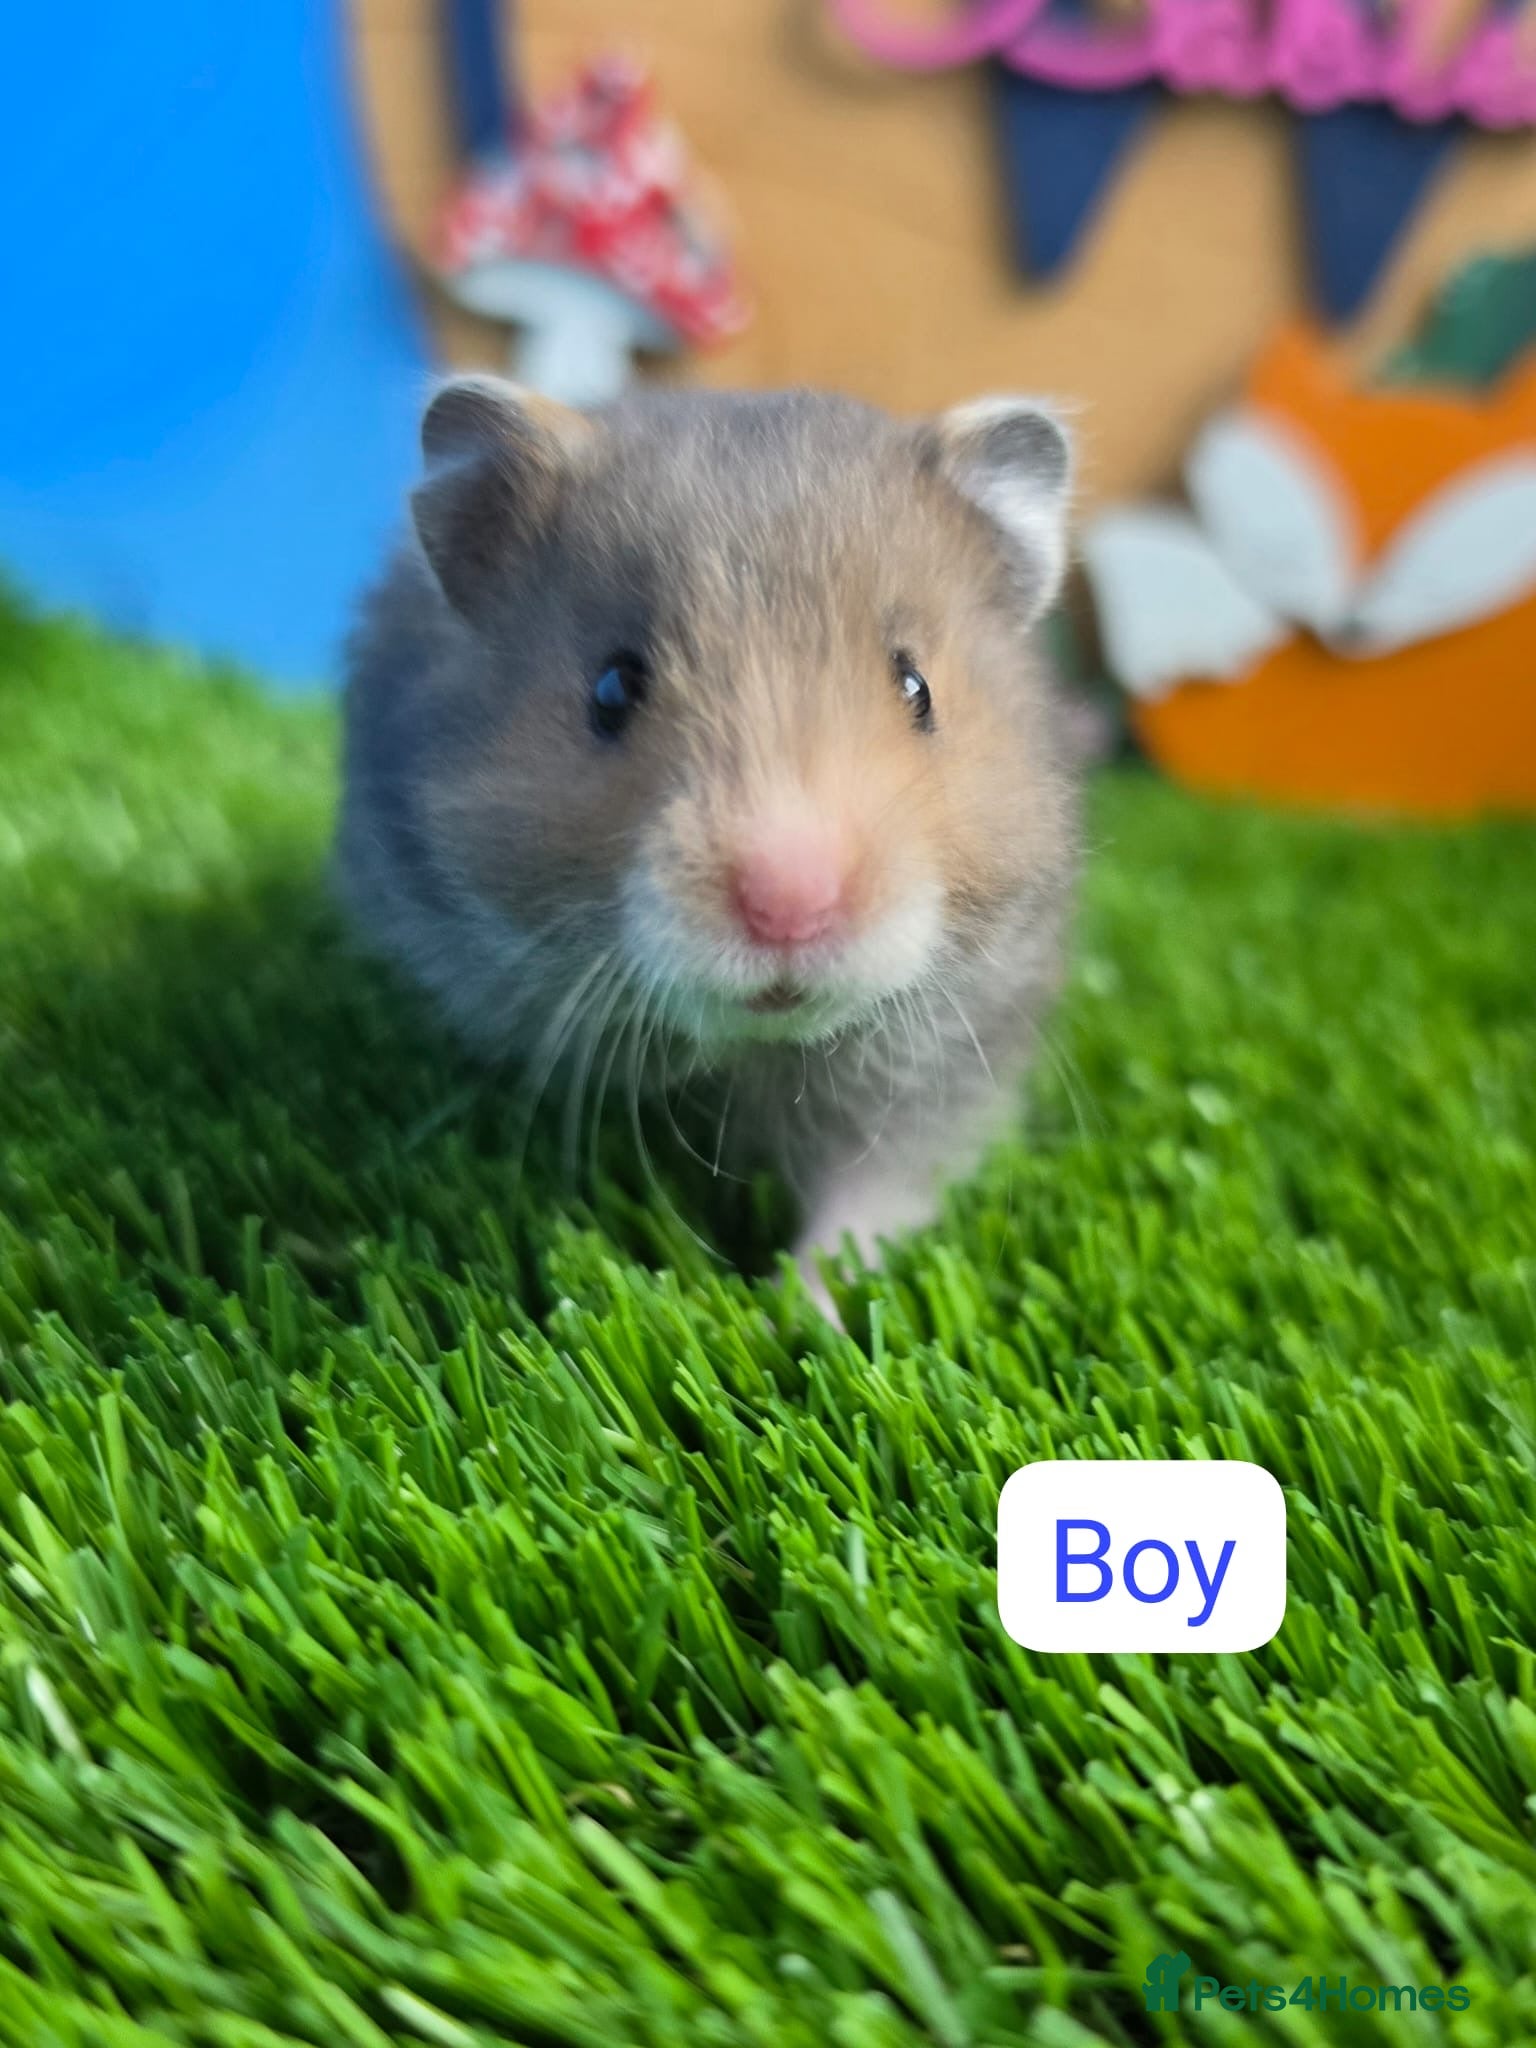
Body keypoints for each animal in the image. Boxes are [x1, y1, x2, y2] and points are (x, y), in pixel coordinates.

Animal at [336, 377, 1078, 1301]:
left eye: (918, 688)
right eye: (611, 689)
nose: (790, 906)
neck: (751, 1051)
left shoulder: (943, 1055)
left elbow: (867, 1200)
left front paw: (796, 1312)